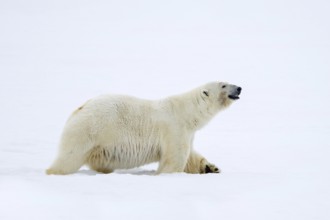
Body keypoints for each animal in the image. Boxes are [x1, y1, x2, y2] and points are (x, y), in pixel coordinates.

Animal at [46, 81, 241, 174]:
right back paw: (54, 171)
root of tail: (79, 109)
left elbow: (190, 155)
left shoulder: (187, 133)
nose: (239, 88)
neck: (186, 112)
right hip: (89, 130)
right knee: (69, 157)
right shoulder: (174, 128)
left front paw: (211, 168)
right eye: (223, 84)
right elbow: (175, 157)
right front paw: (165, 174)